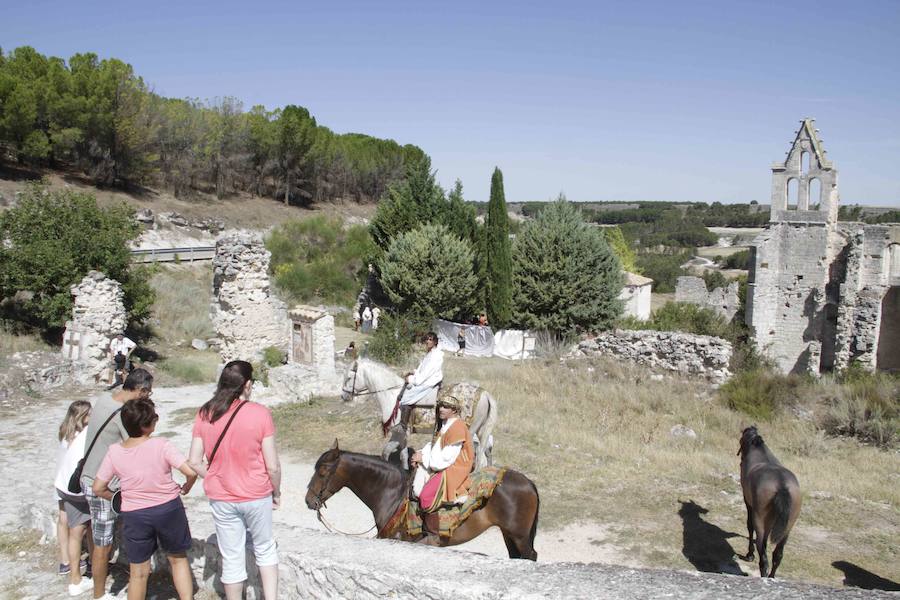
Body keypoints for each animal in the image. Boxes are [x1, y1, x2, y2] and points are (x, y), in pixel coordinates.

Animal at [306, 440, 536, 564]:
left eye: (323, 471)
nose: (309, 500)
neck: (392, 495)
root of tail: (528, 482)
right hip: (509, 535)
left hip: (520, 537)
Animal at [342, 358, 500, 472]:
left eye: (349, 378)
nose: (344, 396)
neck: (393, 395)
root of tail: (484, 393)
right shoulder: (399, 434)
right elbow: (397, 454)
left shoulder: (401, 433)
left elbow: (394, 453)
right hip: (480, 431)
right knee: (485, 450)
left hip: (468, 431)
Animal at [740, 424, 800, 580]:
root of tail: (782, 485)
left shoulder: (748, 503)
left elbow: (749, 526)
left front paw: (749, 554)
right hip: (787, 529)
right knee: (777, 556)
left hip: (761, 522)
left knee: (763, 557)